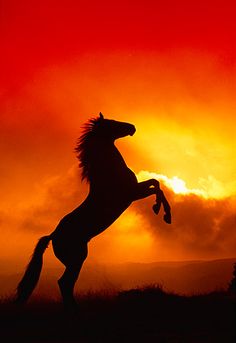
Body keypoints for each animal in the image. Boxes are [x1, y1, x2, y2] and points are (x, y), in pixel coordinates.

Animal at [15, 113, 171, 310]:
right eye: (112, 123)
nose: (132, 127)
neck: (109, 172)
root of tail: (53, 235)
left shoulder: (135, 191)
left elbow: (156, 183)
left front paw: (161, 211)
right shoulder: (132, 194)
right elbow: (157, 187)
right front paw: (163, 213)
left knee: (65, 283)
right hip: (77, 259)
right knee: (64, 283)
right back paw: (74, 309)